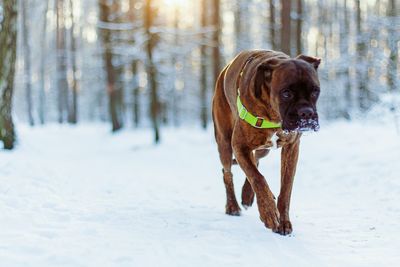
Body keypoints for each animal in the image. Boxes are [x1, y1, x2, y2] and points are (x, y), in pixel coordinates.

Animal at [212, 49, 322, 236]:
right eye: (286, 93)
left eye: (315, 91)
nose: (306, 113)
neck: (274, 113)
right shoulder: (239, 146)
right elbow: (257, 178)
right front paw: (269, 212)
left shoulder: (291, 148)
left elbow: (285, 189)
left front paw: (283, 221)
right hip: (224, 143)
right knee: (227, 173)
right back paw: (232, 206)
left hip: (264, 148)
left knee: (255, 160)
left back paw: (247, 195)